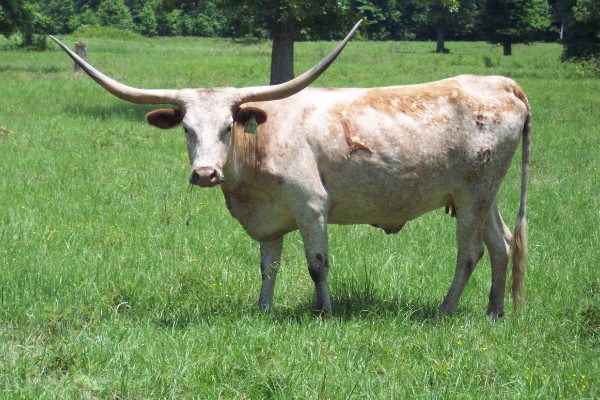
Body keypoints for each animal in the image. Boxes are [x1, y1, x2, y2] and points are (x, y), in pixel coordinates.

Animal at [50, 20, 530, 319]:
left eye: (227, 126)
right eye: (186, 128)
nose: (205, 174)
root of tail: (502, 83)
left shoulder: (311, 206)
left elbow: (317, 263)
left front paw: (324, 312)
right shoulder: (271, 218)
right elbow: (269, 266)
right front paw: (263, 309)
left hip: (474, 195)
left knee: (470, 252)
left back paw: (444, 311)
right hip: (483, 195)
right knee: (502, 244)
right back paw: (494, 311)